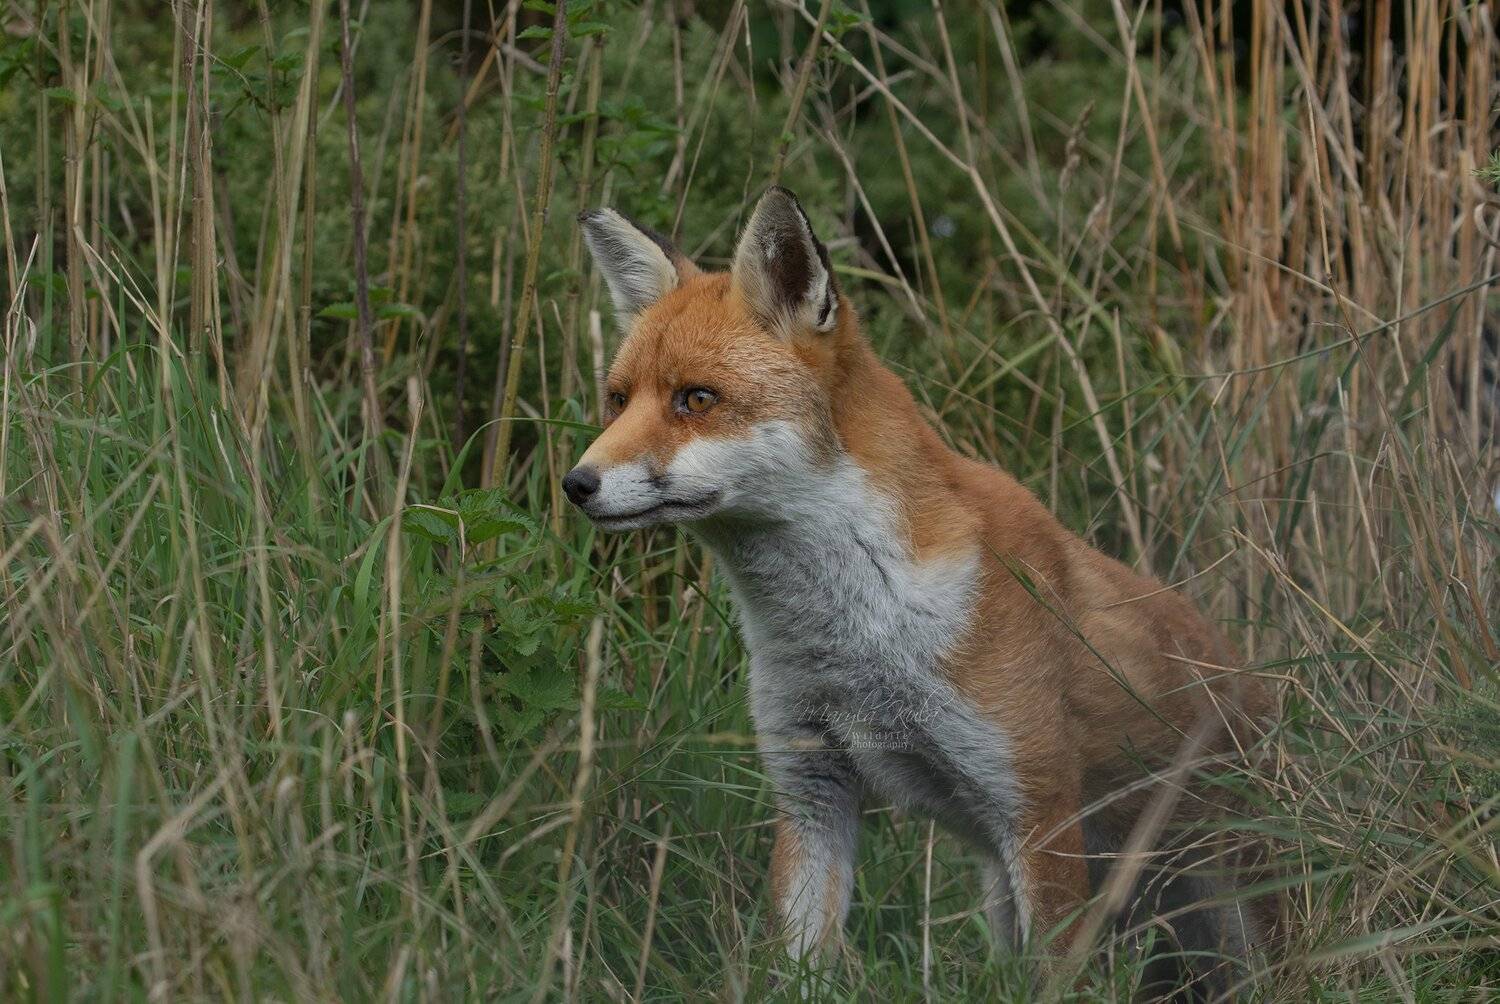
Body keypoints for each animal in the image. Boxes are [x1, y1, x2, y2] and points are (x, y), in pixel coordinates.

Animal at [566, 187, 1277, 994]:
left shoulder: (1037, 804)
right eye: (618, 399)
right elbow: (800, 962)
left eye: (696, 398)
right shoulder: (812, 789)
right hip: (1008, 890)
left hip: (1231, 911)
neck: (851, 638)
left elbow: (1057, 978)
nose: (577, 483)